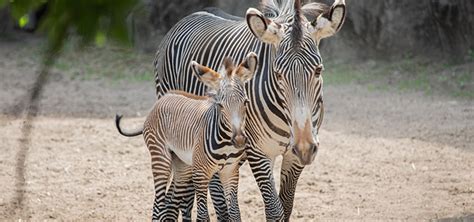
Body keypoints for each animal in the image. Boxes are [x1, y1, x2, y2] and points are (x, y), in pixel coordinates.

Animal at [116, 53, 258, 221]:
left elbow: (235, 214)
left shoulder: (230, 172)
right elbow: (202, 215)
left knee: (169, 201)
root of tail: (164, 97)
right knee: (159, 204)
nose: (240, 140)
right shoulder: (201, 174)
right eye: (220, 105)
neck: (226, 144)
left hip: (183, 165)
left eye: (246, 102)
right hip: (161, 158)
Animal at [154, 0, 346, 219]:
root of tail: (191, 16)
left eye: (318, 70)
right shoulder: (258, 152)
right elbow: (274, 211)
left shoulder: (293, 158)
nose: (304, 146)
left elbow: (286, 206)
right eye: (278, 74)